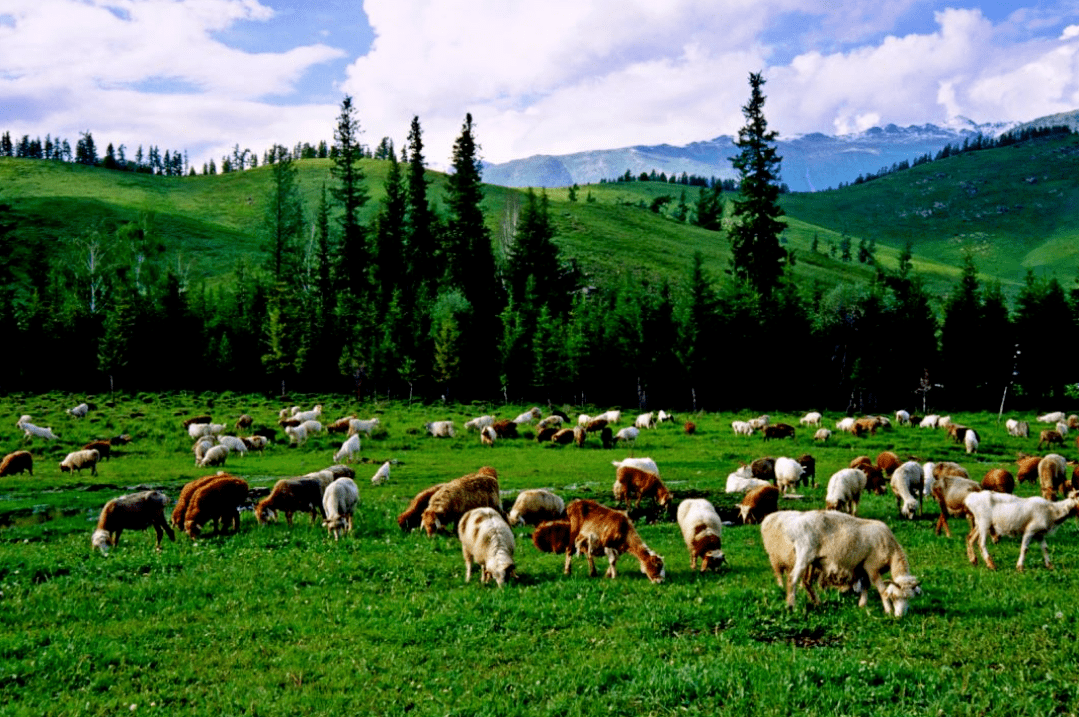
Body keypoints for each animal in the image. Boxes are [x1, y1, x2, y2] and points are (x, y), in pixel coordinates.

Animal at [759, 508, 919, 616]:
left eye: (910, 598)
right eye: (895, 597)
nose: (900, 616)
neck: (891, 550)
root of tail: (794, 523)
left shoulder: (862, 566)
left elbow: (865, 586)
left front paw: (862, 604)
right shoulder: (872, 566)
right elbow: (882, 590)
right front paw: (888, 610)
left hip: (812, 561)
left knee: (807, 582)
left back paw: (817, 603)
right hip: (805, 552)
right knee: (792, 578)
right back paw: (792, 606)